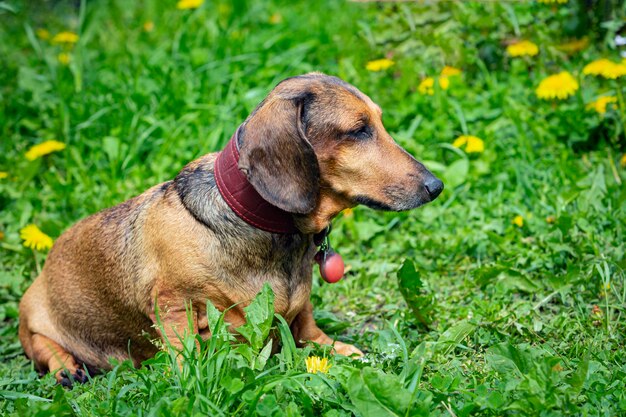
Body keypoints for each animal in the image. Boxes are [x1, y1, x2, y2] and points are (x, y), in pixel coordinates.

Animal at [18, 73, 438, 386]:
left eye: (378, 122)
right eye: (358, 130)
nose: (436, 186)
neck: (259, 223)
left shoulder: (299, 306)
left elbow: (307, 325)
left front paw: (336, 349)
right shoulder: (172, 305)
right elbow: (186, 348)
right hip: (32, 315)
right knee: (41, 346)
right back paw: (66, 369)